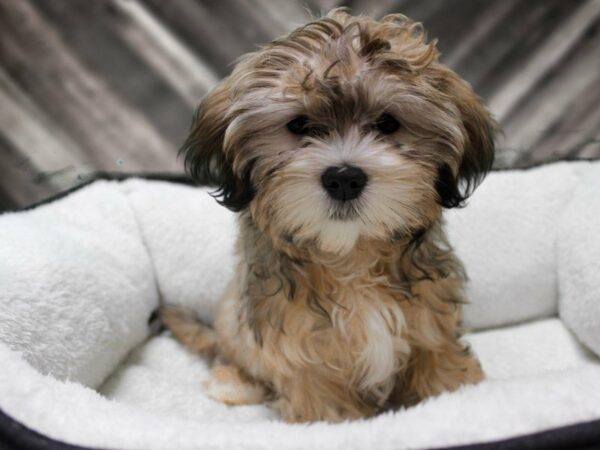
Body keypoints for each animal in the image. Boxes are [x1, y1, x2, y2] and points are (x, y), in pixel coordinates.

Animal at [159, 10, 492, 424]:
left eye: (388, 123)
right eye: (299, 125)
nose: (344, 178)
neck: (351, 256)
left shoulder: (431, 325)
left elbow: (440, 367)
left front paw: (455, 396)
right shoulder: (301, 351)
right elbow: (324, 404)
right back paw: (232, 383)